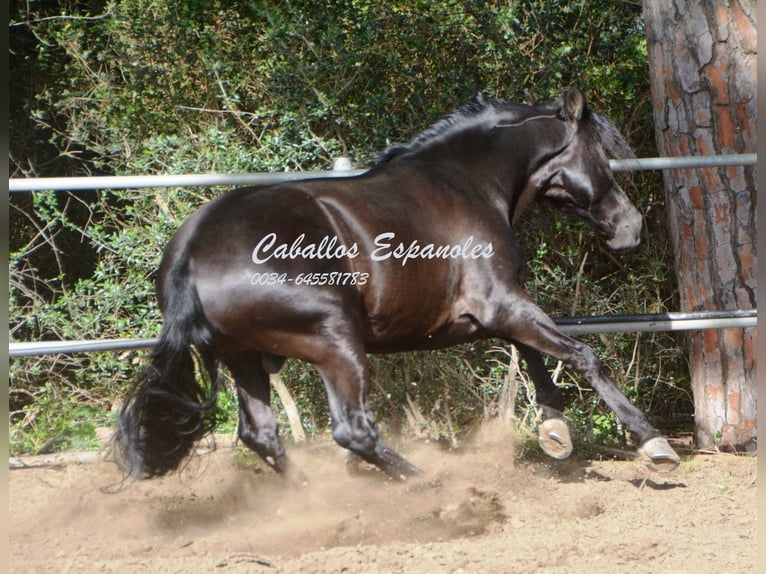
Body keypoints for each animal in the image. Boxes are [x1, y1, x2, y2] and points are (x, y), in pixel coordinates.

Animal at [115, 88, 684, 484]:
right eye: (603, 157)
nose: (631, 227)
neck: (468, 182)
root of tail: (192, 253)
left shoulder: (487, 313)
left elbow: (531, 352)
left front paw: (554, 432)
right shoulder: (500, 303)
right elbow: (581, 356)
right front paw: (652, 444)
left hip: (245, 357)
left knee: (262, 435)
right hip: (335, 342)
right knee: (352, 429)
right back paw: (425, 484)